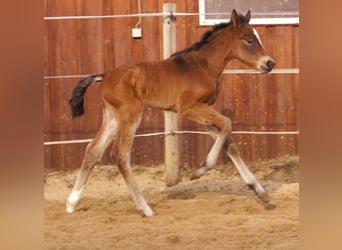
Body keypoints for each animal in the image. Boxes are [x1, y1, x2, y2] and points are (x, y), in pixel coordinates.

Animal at [66, 9, 276, 217]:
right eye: (249, 39)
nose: (270, 63)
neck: (202, 66)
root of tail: (105, 76)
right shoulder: (188, 107)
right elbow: (227, 124)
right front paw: (198, 171)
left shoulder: (204, 108)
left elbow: (229, 143)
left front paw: (260, 191)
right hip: (130, 114)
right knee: (120, 154)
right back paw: (145, 208)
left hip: (112, 117)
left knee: (93, 150)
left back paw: (71, 203)